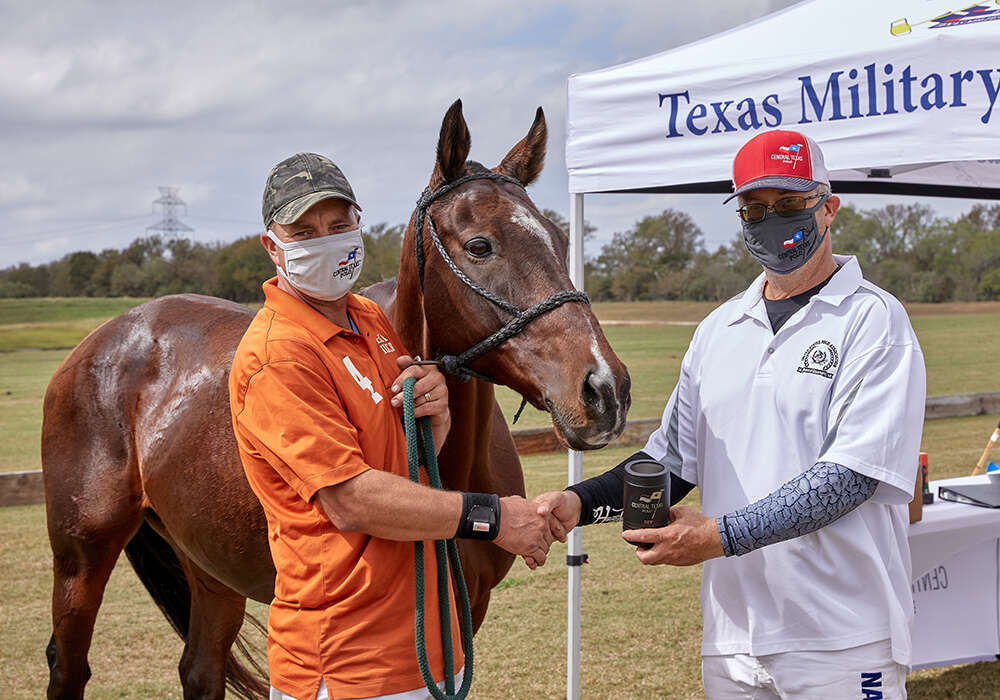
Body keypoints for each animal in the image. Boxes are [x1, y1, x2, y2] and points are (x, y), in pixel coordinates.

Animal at [45, 100, 632, 700]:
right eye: (479, 245)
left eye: (562, 241)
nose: (605, 390)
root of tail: (106, 339)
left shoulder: (464, 621)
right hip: (81, 559)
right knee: (70, 665)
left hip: (208, 564)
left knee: (200, 668)